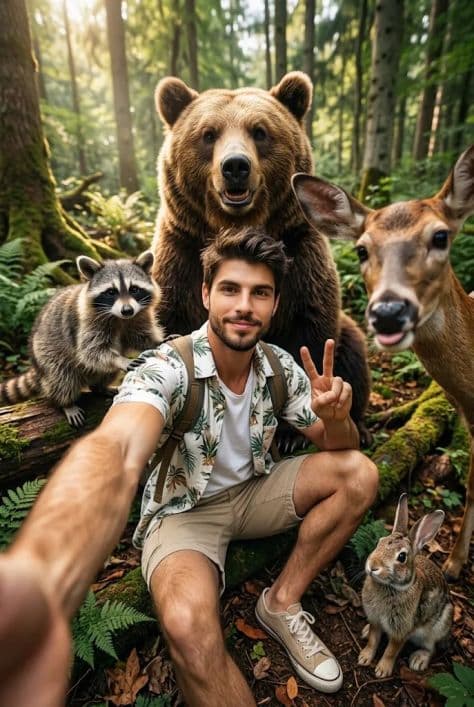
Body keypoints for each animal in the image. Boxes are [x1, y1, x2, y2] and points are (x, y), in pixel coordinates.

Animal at [151, 71, 371, 442]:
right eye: (208, 134)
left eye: (260, 131)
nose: (235, 166)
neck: (236, 227)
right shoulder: (181, 252)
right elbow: (171, 316)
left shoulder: (299, 252)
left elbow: (308, 329)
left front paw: (290, 433)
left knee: (354, 352)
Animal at [358, 493, 453, 677]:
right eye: (379, 542)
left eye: (401, 557)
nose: (372, 566)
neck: (391, 586)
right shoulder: (375, 619)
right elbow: (373, 639)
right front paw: (364, 657)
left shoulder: (401, 630)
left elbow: (391, 650)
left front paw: (382, 670)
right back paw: (364, 631)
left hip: (437, 627)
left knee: (432, 648)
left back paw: (418, 660)